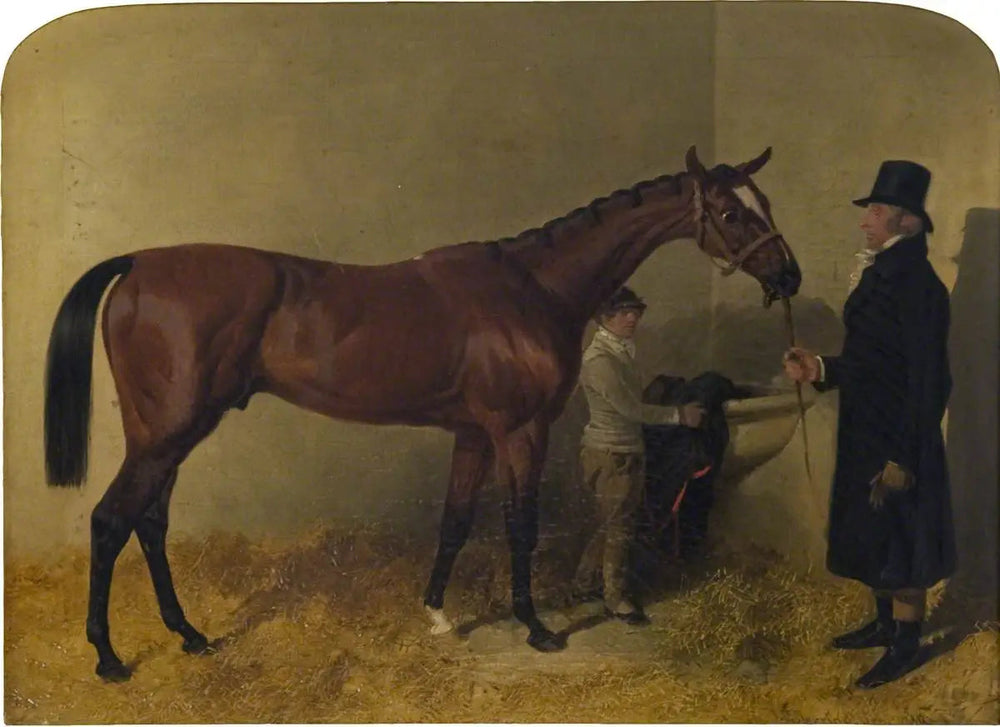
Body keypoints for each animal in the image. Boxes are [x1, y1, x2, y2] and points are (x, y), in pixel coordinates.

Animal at [44, 145, 800, 681]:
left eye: (766, 200)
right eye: (732, 213)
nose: (788, 275)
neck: (530, 288)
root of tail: (140, 263)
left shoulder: (472, 434)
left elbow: (456, 522)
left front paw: (436, 614)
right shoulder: (520, 431)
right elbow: (518, 525)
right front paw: (536, 627)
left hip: (170, 435)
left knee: (148, 523)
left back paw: (191, 635)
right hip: (165, 434)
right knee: (110, 521)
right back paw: (108, 657)